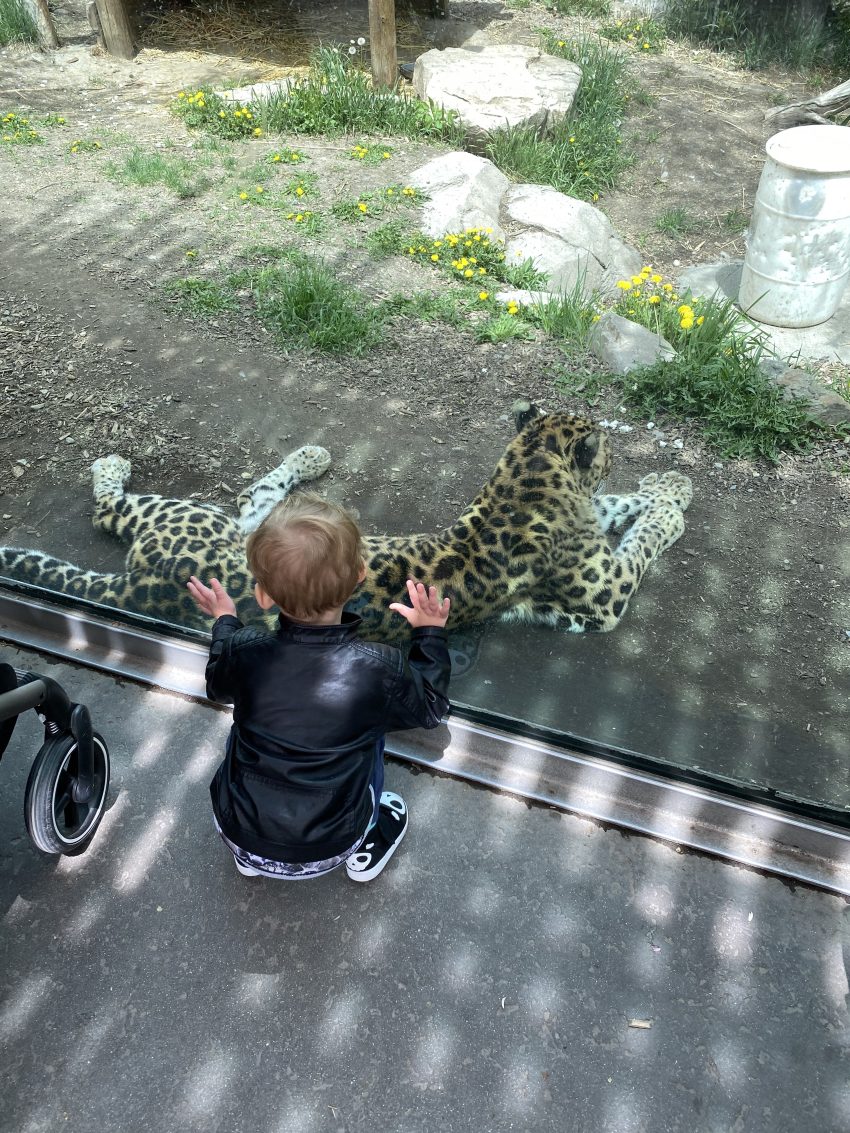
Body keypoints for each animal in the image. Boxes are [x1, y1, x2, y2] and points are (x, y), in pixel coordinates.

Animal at [0, 405, 693, 639]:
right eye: (607, 443)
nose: (617, 451)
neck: (524, 481)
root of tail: (137, 587)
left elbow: (615, 508)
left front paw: (670, 485)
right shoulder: (603, 596)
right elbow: (643, 538)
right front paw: (669, 505)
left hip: (243, 527)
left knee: (256, 494)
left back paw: (310, 457)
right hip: (189, 516)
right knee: (106, 506)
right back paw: (112, 462)